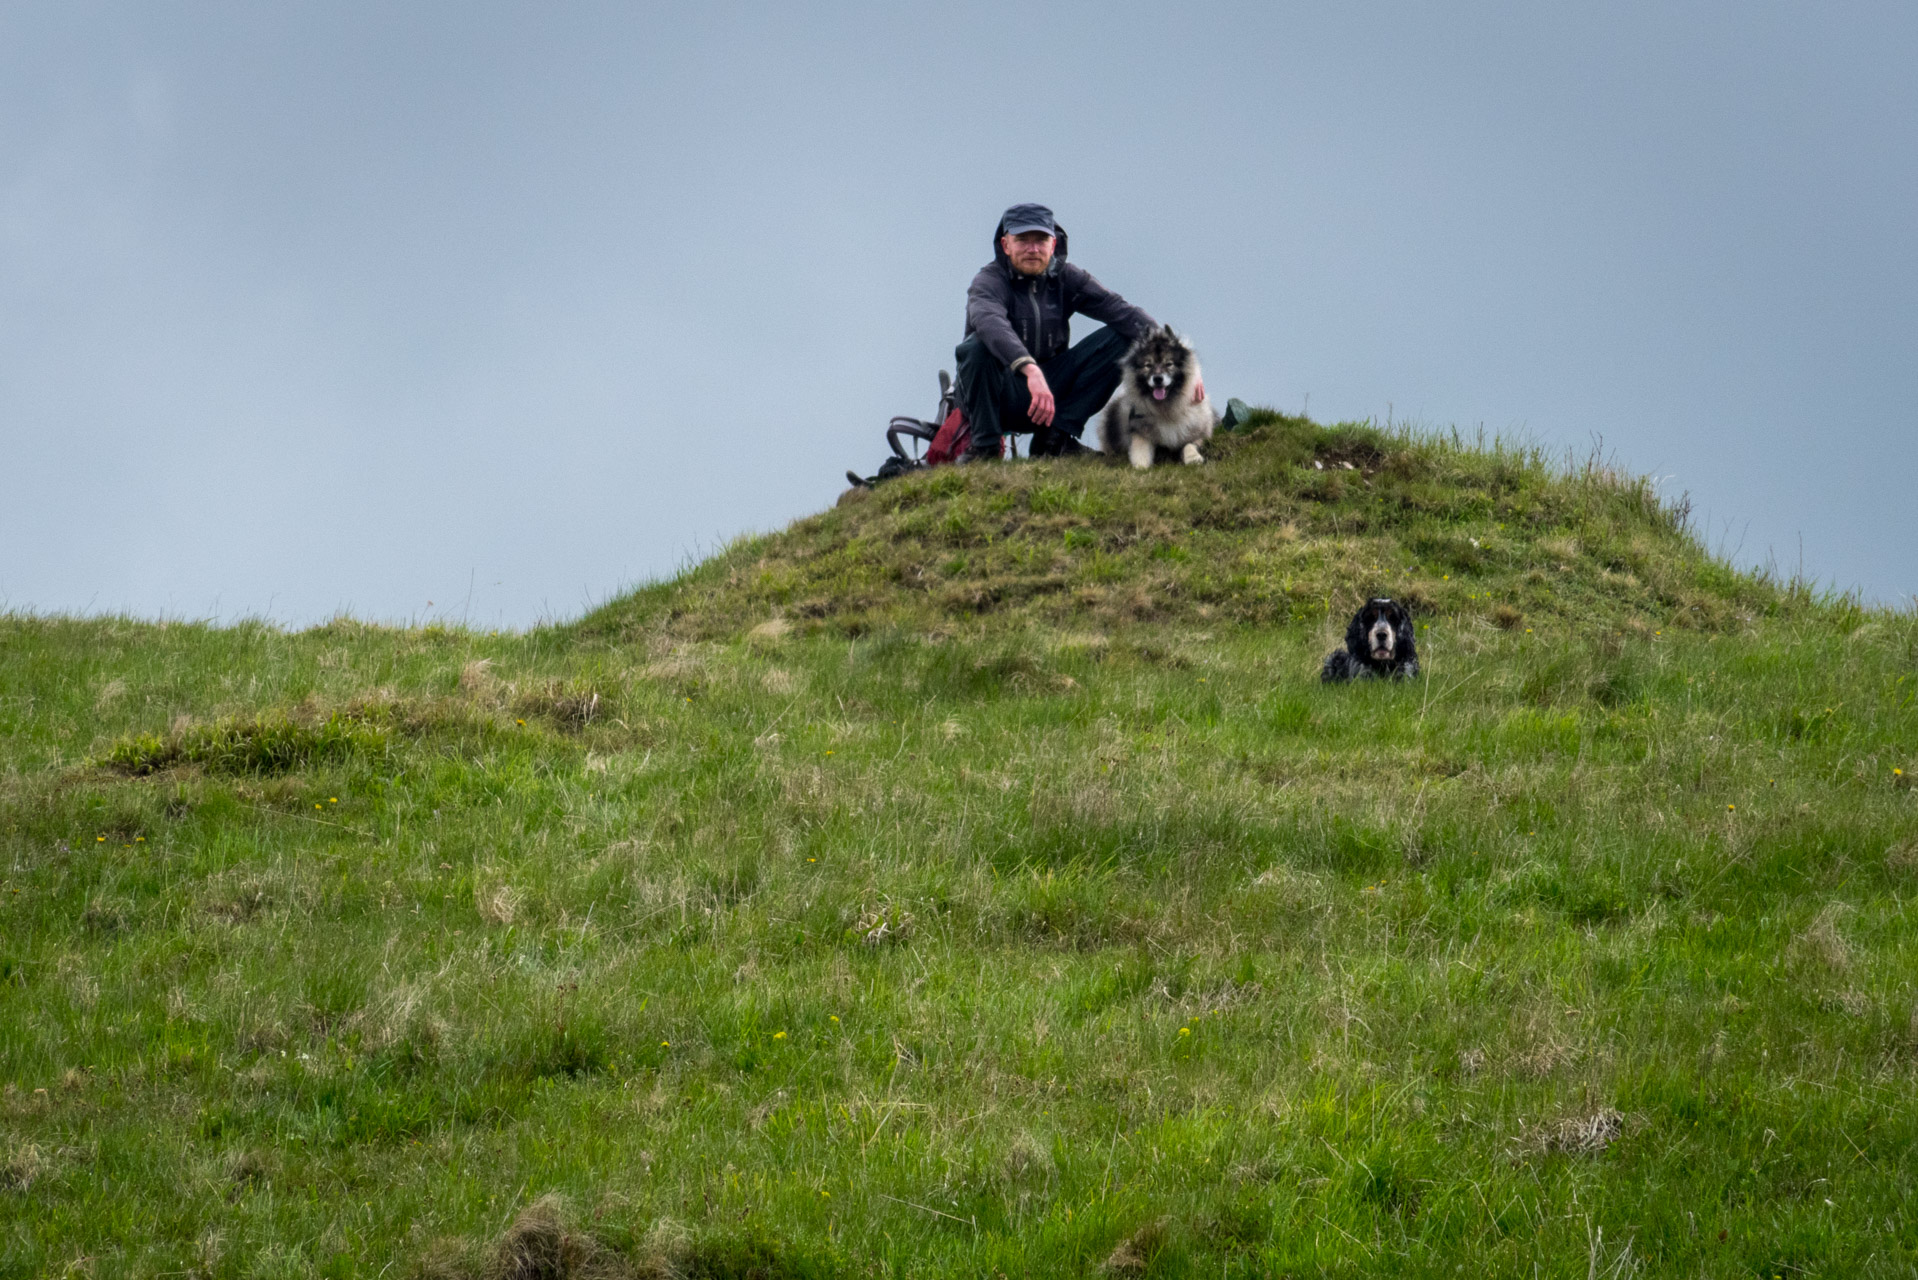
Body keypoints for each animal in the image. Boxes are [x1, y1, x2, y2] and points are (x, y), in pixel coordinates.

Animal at [1097, 326, 1212, 470]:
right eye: (1148, 365)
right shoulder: (1139, 430)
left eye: (1169, 364)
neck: (1166, 410)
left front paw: (1193, 459)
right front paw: (1141, 466)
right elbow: (1140, 449)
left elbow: (1189, 445)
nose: (1157, 379)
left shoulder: (1197, 433)